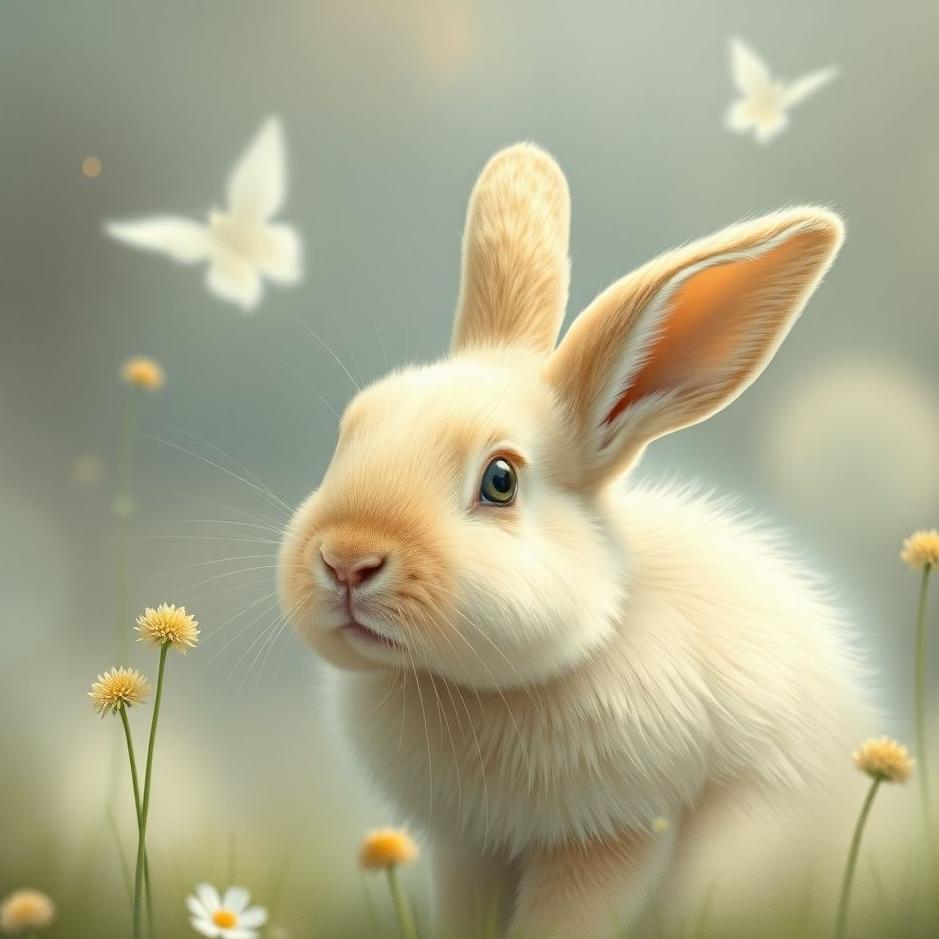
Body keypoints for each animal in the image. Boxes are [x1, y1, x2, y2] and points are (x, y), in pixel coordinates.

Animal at [278, 143, 874, 938]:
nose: (346, 558)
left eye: (500, 480)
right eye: (349, 432)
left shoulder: (615, 832)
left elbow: (566, 919)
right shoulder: (466, 848)